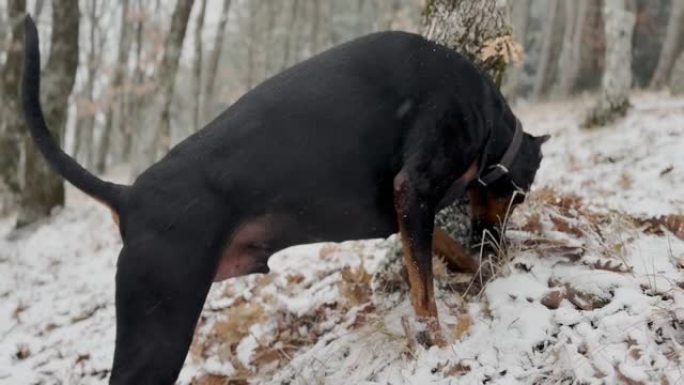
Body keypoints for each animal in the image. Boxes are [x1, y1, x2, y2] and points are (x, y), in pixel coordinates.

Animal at [20, 15, 544, 384]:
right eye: (518, 198)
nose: (497, 243)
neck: (486, 113)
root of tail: (127, 197)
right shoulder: (413, 189)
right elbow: (424, 294)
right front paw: (440, 343)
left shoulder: (408, 211)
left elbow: (441, 252)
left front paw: (480, 270)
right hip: (159, 325)